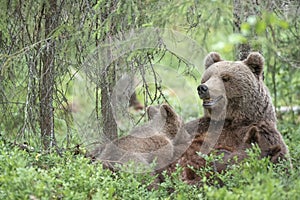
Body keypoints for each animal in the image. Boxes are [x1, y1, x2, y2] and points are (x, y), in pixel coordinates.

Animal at [178, 52, 290, 184]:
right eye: (208, 77)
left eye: (225, 78)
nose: (203, 88)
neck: (231, 119)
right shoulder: (199, 127)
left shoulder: (263, 132)